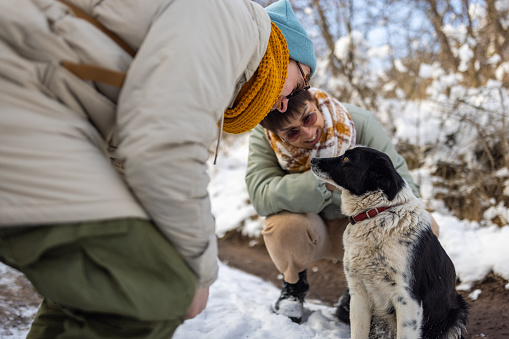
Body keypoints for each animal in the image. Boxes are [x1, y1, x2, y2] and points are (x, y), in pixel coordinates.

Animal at [308, 148, 466, 339]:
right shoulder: (358, 294)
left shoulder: (407, 299)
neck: (376, 213)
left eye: (346, 158)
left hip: (457, 313)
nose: (313, 160)